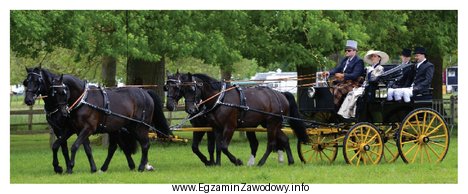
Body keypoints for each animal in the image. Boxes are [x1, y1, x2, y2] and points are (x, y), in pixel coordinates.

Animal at [167, 72, 308, 166]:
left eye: (192, 88)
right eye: (182, 89)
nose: (191, 110)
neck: (220, 99)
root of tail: (281, 94)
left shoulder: (229, 127)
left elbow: (223, 146)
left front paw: (236, 161)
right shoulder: (216, 128)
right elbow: (217, 146)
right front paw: (217, 164)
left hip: (272, 124)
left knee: (271, 143)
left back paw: (261, 162)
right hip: (271, 124)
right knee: (284, 139)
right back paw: (290, 161)